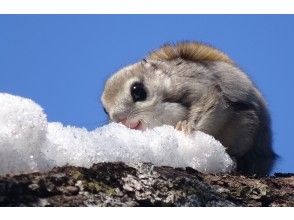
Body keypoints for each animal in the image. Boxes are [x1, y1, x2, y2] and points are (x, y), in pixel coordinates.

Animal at [101, 40, 276, 175]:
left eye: (138, 91)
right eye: (105, 110)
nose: (120, 120)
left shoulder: (194, 85)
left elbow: (208, 102)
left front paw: (186, 127)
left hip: (246, 125)